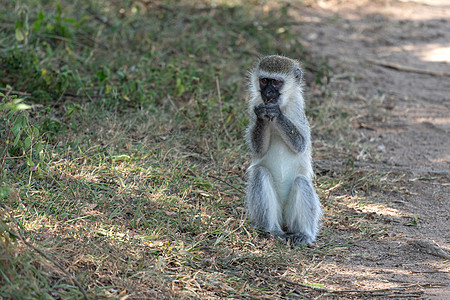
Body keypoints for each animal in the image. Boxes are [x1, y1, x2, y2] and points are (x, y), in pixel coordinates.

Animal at [244, 55, 322, 245]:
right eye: (264, 81)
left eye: (276, 83)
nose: (267, 93)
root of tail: (284, 221)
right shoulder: (254, 105)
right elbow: (258, 150)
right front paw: (263, 114)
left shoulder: (297, 109)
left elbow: (301, 144)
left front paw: (276, 113)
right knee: (260, 174)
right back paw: (273, 230)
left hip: (291, 214)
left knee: (301, 182)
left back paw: (304, 234)